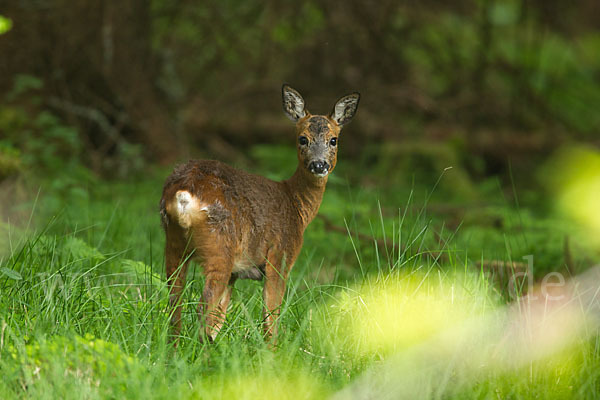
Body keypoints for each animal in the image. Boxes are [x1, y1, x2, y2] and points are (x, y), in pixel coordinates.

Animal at [158, 84, 360, 344]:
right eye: (302, 139)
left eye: (334, 140)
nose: (319, 165)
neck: (296, 206)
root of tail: (184, 195)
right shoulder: (280, 257)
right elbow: (270, 315)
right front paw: (272, 350)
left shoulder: (236, 272)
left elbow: (220, 316)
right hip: (219, 248)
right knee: (202, 306)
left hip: (174, 243)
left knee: (175, 304)